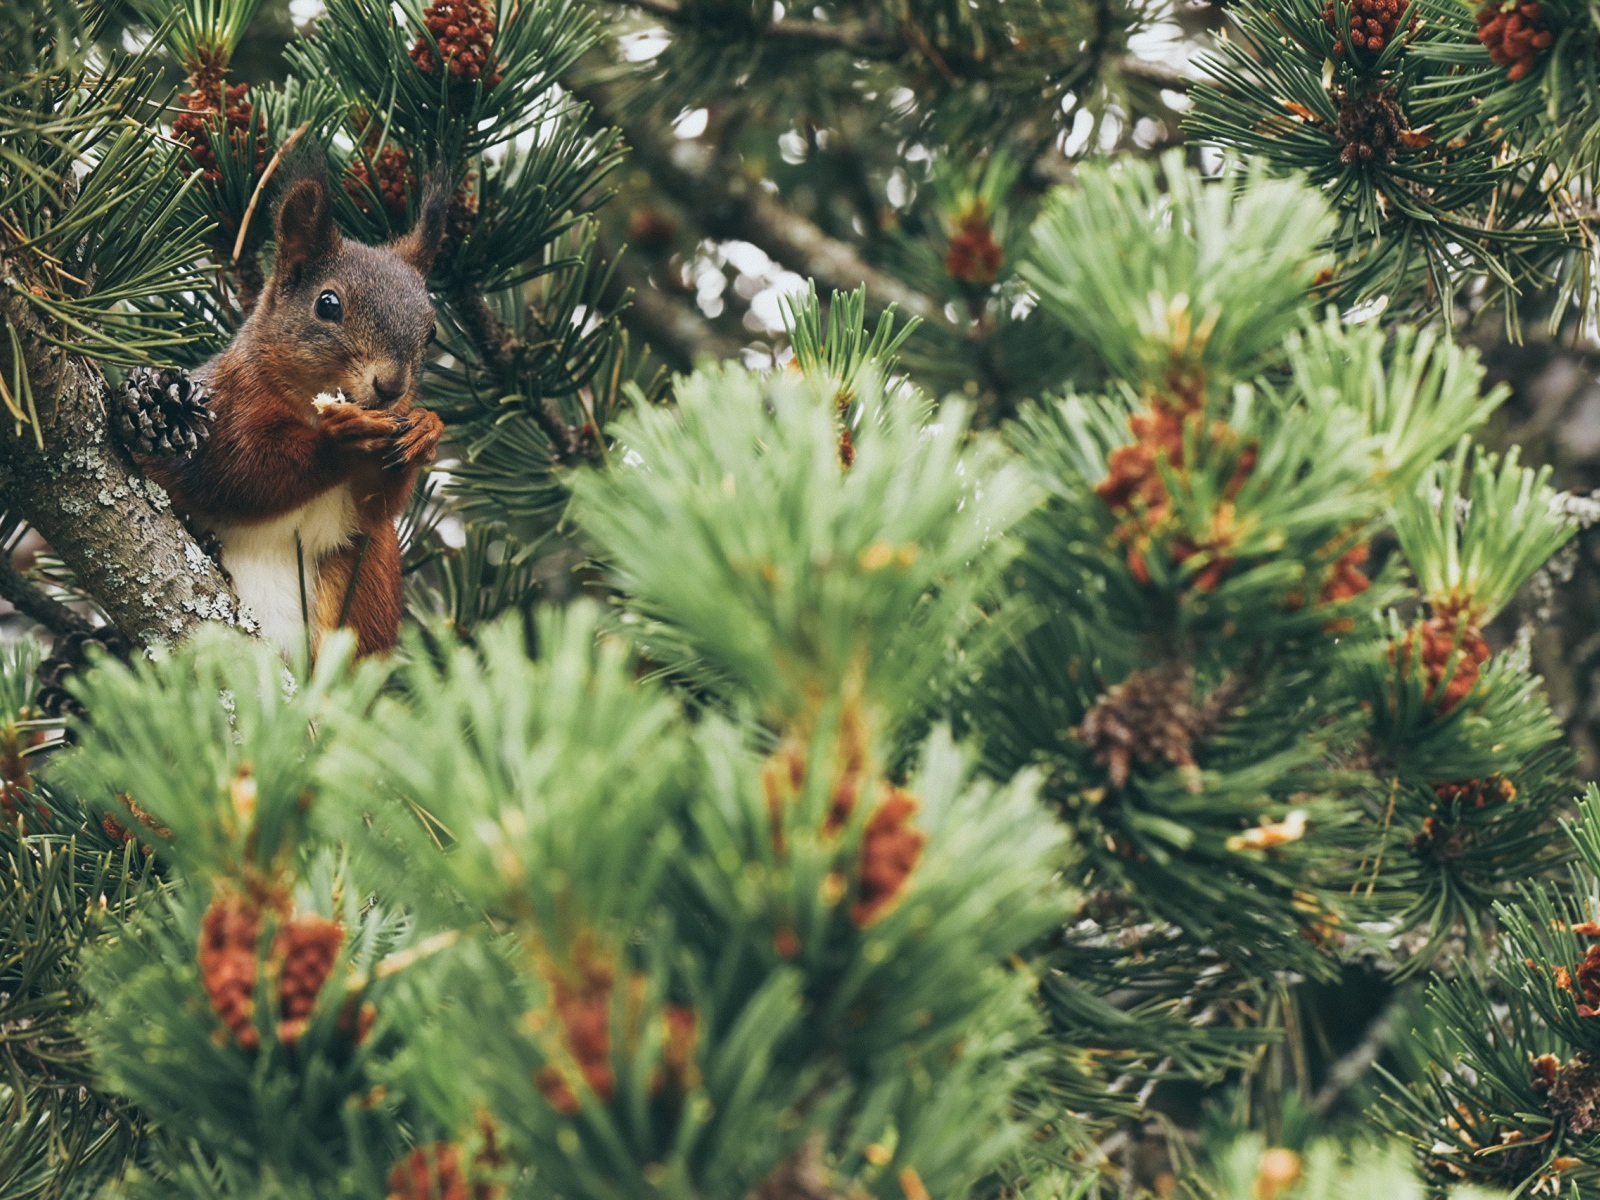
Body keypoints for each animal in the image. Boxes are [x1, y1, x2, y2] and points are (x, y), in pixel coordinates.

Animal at [143, 176, 448, 659]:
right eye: (328, 304)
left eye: (432, 329)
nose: (391, 388)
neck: (306, 404)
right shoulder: (228, 409)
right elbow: (244, 472)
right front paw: (340, 438)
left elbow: (377, 504)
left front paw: (425, 431)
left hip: (363, 582)